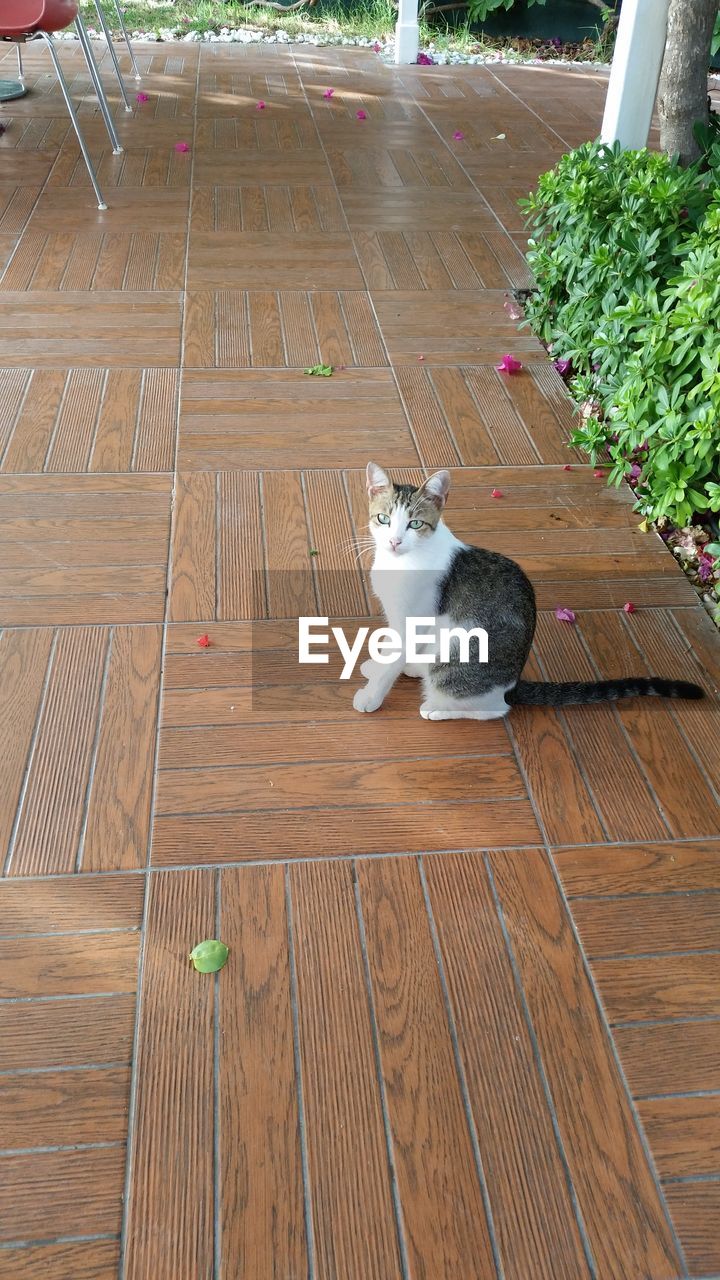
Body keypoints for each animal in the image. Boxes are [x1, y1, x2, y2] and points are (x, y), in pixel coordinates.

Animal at [353, 463, 702, 721]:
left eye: (415, 524)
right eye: (383, 519)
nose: (394, 541)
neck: (402, 561)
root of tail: (512, 684)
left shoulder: (414, 617)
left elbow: (394, 658)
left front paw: (372, 695)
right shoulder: (398, 618)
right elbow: (392, 649)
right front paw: (379, 666)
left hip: (459, 656)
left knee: (493, 709)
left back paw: (438, 708)